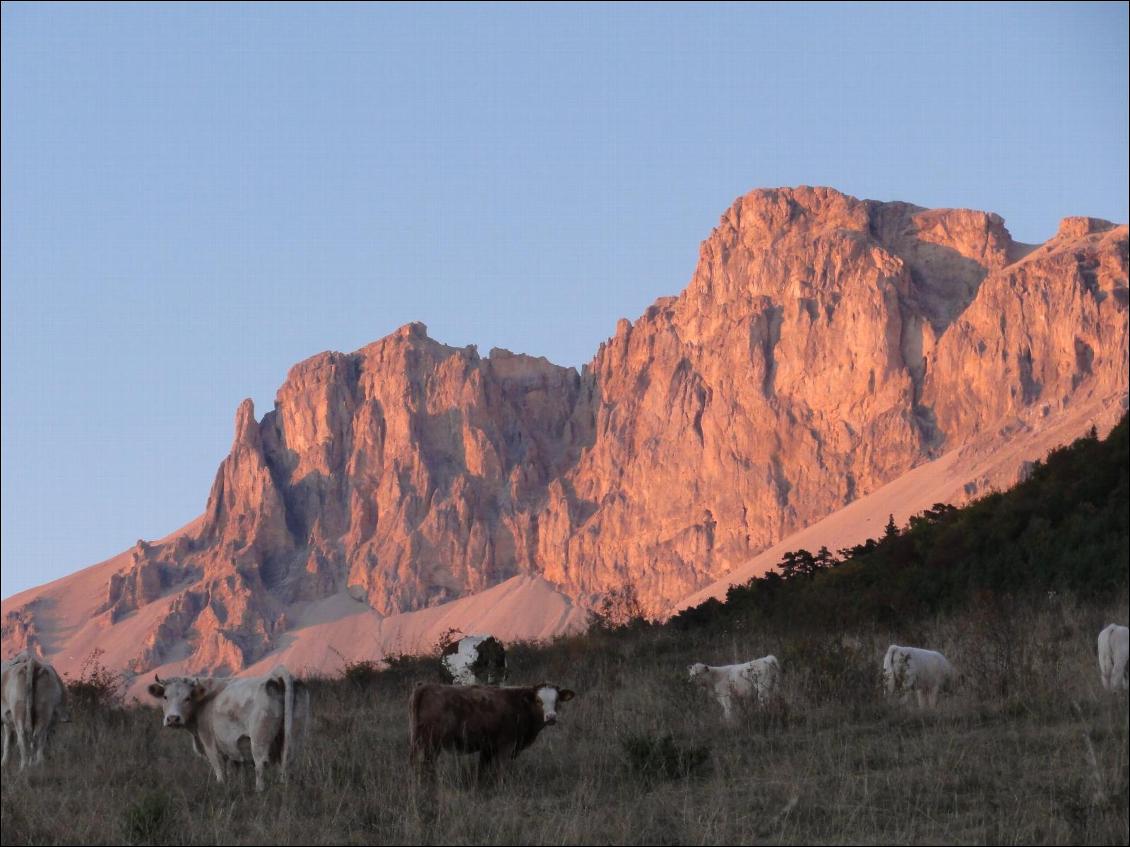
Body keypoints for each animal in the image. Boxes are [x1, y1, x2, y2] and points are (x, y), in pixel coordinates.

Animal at [149, 668, 314, 795]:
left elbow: (220, 771)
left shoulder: (210, 744)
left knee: (260, 765)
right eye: (165, 697)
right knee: (287, 760)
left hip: (259, 740)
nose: (173, 718)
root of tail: (276, 675)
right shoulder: (233, 750)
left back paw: (259, 791)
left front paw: (221, 788)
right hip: (293, 736)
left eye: (187, 698)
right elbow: (237, 772)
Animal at [409, 682, 574, 781]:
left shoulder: (488, 747)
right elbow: (501, 770)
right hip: (431, 742)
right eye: (539, 701)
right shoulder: (506, 745)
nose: (551, 717)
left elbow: (481, 770)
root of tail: (426, 686)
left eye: (557, 700)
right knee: (426, 764)